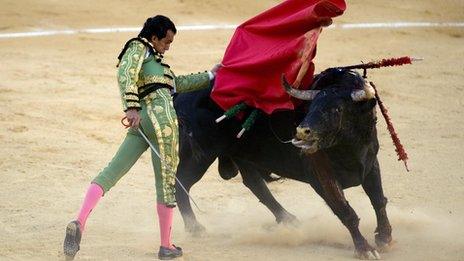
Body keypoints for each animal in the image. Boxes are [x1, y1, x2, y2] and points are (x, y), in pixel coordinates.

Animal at [174, 67, 392, 258]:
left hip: (241, 154)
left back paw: (290, 220)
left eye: (337, 109)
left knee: (254, 183)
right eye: (312, 107)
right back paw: (195, 228)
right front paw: (365, 249)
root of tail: (179, 96)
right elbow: (345, 211)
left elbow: (378, 200)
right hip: (199, 156)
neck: (348, 148)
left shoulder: (370, 165)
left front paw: (385, 237)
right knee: (181, 183)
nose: (302, 131)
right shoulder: (321, 176)